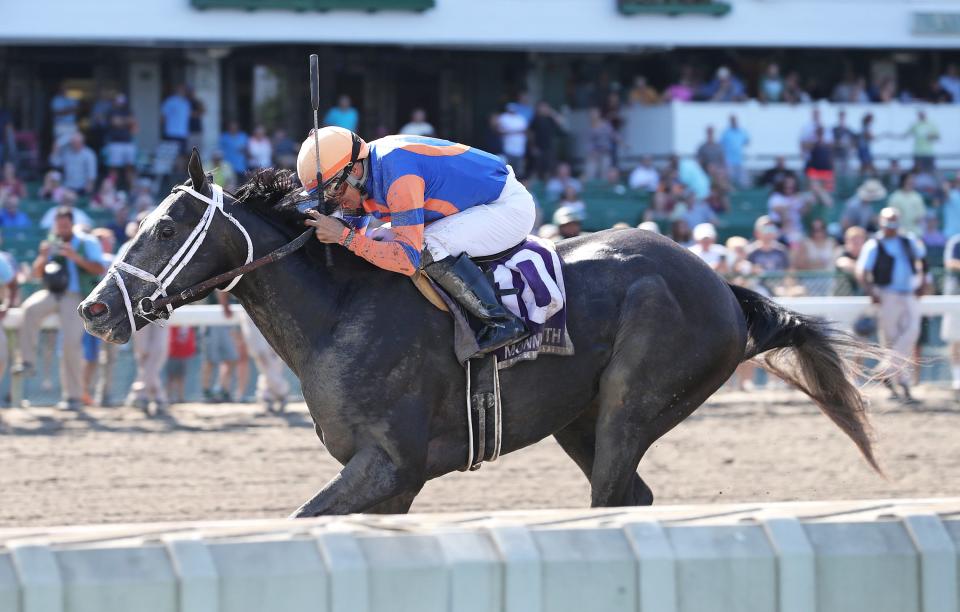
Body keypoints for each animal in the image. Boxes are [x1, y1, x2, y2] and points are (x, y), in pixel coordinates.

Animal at [79, 149, 880, 516]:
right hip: (579, 421)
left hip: (635, 403)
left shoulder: (389, 466)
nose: (93, 309)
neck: (339, 313)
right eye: (142, 220)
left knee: (613, 496)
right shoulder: (388, 481)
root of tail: (720, 283)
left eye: (168, 228)